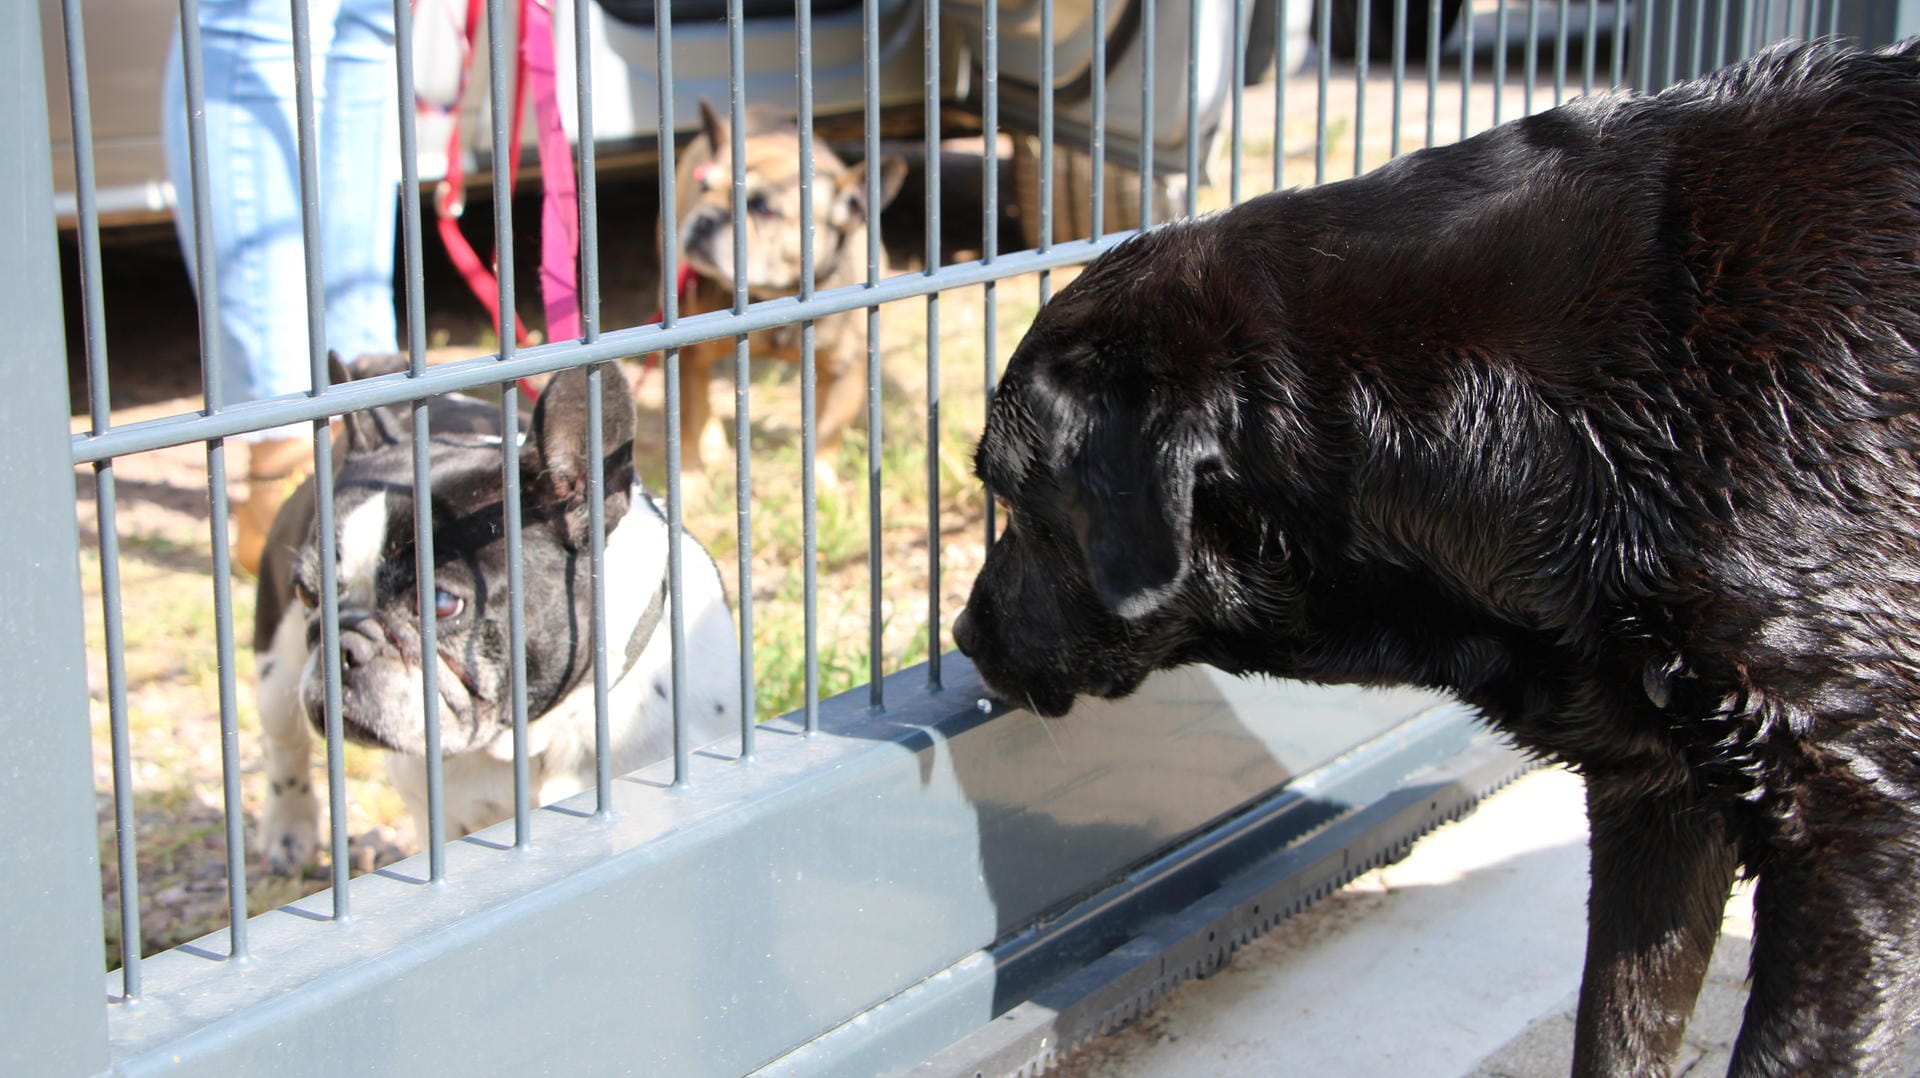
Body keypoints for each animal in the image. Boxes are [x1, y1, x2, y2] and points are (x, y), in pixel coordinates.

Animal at [668, 100, 906, 488]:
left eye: (763, 208)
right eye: (704, 188)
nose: (704, 216)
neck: (778, 294)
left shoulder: (845, 371)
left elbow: (827, 435)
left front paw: (821, 485)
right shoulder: (688, 356)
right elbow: (687, 420)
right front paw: (690, 484)